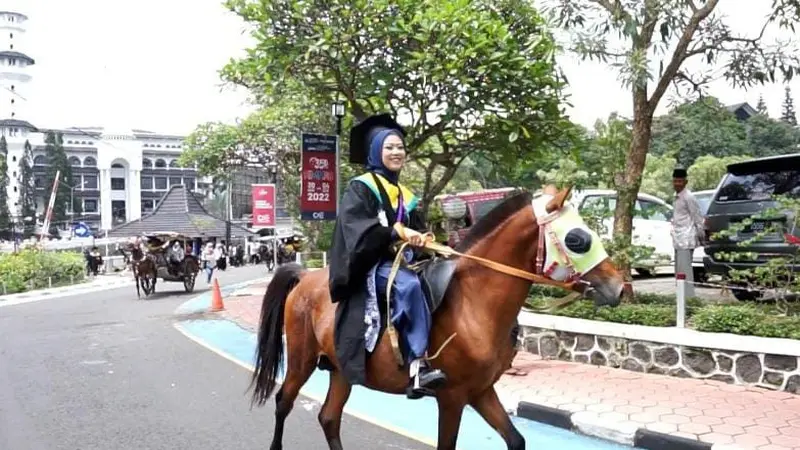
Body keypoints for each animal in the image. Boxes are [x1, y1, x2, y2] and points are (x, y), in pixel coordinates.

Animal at [248, 186, 624, 450]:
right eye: (578, 239)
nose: (619, 287)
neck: (475, 301)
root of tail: (304, 277)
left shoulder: (481, 391)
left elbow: (516, 440)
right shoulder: (453, 397)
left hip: (342, 369)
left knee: (329, 417)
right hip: (301, 359)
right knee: (283, 403)